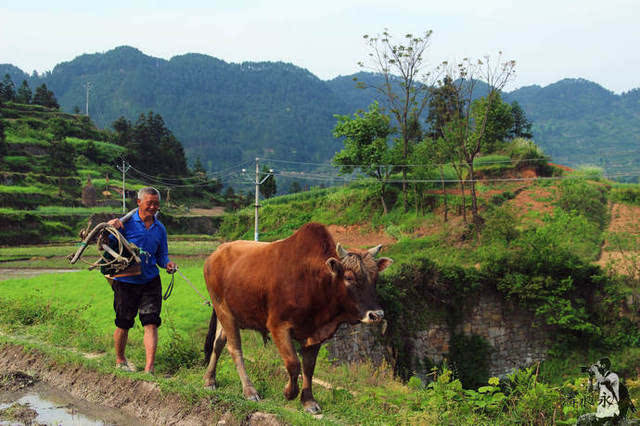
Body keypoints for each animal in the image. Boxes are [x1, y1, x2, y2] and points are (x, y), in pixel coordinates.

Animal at [202, 223, 392, 412]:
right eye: (349, 277)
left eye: (375, 278)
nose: (377, 315)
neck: (314, 281)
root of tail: (215, 254)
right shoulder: (278, 326)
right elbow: (293, 364)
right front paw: (289, 393)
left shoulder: (315, 333)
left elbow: (308, 367)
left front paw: (308, 401)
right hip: (223, 311)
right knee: (235, 349)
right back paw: (249, 390)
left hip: (231, 314)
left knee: (218, 343)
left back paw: (209, 380)